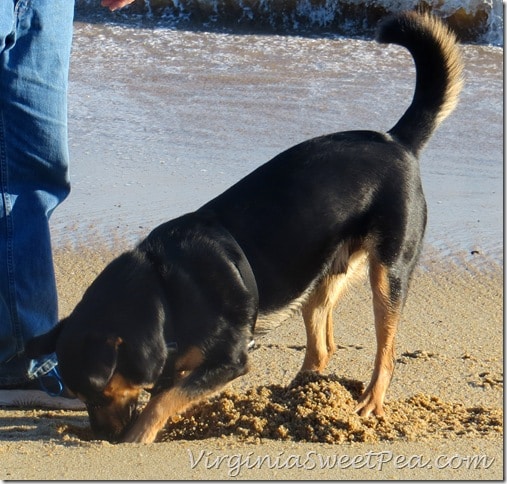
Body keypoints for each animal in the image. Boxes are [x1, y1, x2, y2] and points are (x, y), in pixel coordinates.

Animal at [26, 10, 464, 442]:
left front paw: (139, 435)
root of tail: (396, 140)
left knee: (385, 350)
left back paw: (370, 400)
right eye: (79, 396)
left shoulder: (230, 359)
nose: (103, 437)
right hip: (315, 274)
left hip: (388, 272)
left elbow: (164, 397)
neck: (166, 289)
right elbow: (172, 388)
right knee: (322, 346)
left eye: (98, 394)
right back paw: (295, 398)